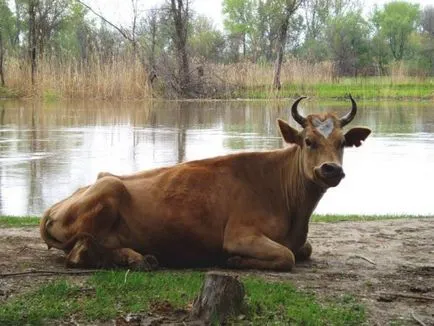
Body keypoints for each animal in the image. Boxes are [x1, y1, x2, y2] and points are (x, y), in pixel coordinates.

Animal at [39, 95, 370, 272]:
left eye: (342, 142)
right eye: (309, 141)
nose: (331, 169)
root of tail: (58, 204)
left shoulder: (300, 241)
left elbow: (305, 249)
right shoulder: (240, 234)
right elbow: (286, 256)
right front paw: (235, 260)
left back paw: (140, 258)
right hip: (110, 189)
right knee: (79, 255)